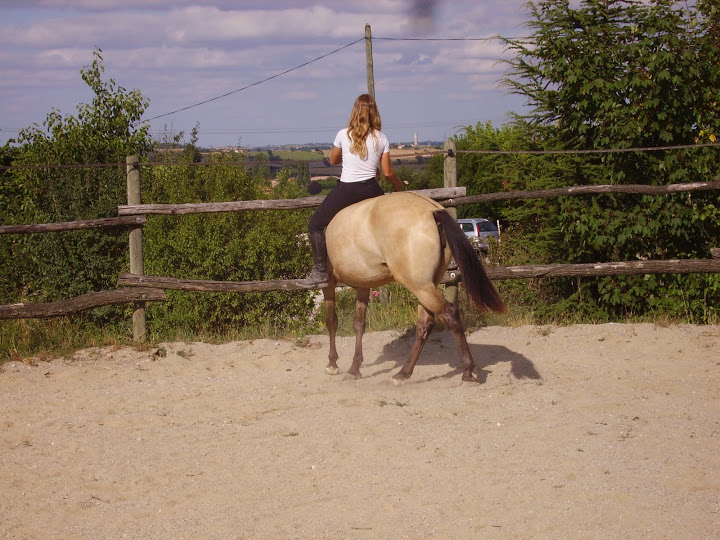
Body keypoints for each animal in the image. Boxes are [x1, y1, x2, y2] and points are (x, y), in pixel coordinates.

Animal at [320, 191, 506, 384]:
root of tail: (432, 210)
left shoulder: (329, 285)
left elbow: (332, 321)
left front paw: (332, 364)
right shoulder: (363, 285)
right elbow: (359, 324)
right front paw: (354, 368)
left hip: (419, 286)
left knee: (448, 314)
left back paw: (467, 370)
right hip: (427, 285)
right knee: (425, 324)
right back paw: (404, 373)